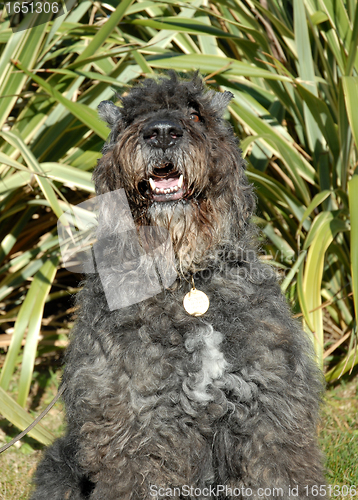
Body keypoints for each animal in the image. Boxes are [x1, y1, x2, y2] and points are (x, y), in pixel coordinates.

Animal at [31, 72, 328, 498]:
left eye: (196, 113)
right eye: (130, 117)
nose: (161, 132)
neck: (184, 277)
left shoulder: (267, 410)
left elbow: (274, 474)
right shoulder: (139, 423)